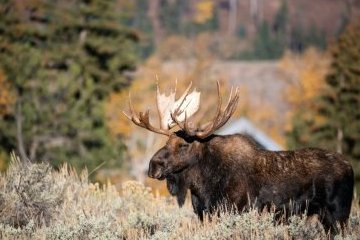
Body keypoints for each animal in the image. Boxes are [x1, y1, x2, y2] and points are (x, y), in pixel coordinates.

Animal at [123, 81, 352, 231]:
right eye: (165, 142)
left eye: (183, 144)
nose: (153, 165)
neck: (202, 186)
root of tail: (350, 167)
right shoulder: (204, 214)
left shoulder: (236, 210)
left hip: (338, 213)